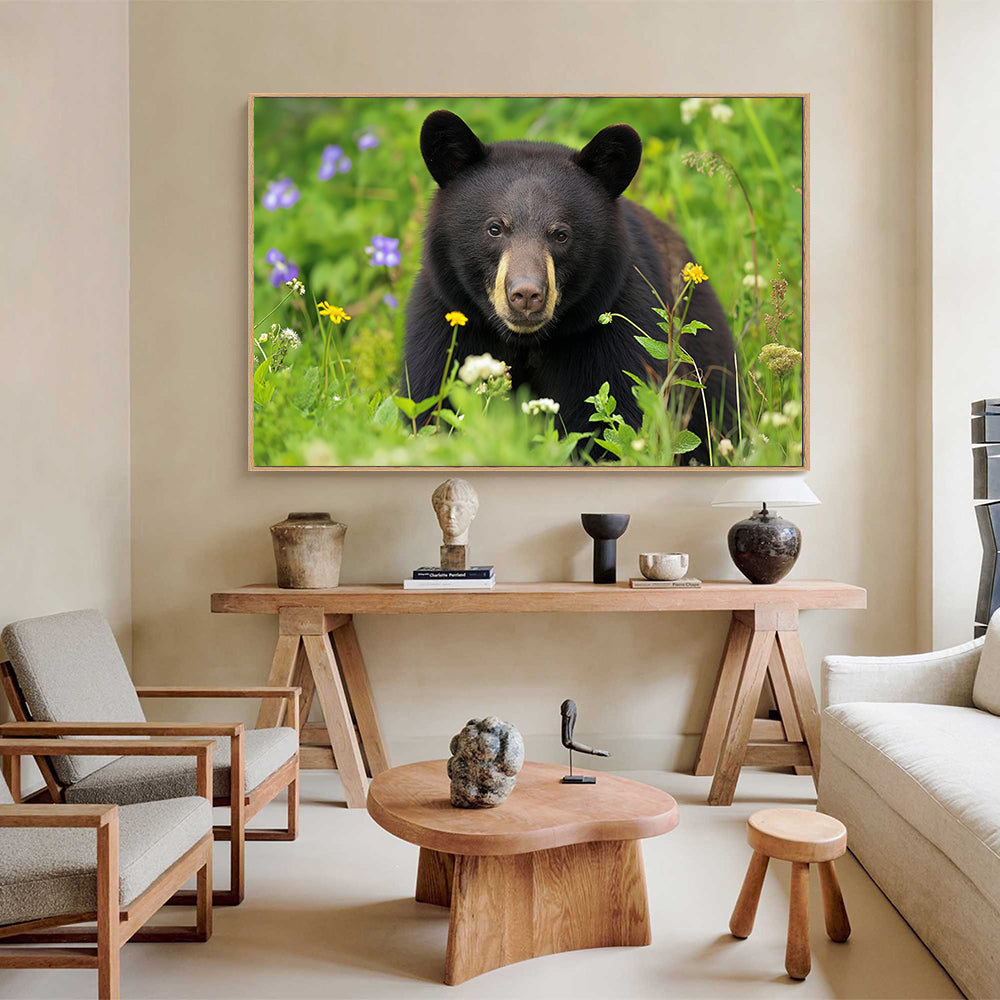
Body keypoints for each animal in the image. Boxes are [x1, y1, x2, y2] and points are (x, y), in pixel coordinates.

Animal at [403, 110, 738, 463]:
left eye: (561, 234)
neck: (527, 344)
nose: (526, 295)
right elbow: (432, 405)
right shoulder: (445, 329)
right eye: (495, 228)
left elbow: (617, 422)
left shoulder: (614, 337)